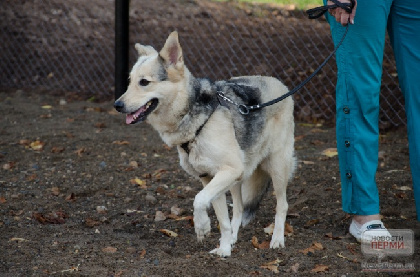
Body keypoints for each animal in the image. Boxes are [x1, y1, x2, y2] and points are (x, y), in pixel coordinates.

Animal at [114, 31, 296, 256]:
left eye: (144, 82)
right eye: (130, 81)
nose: (117, 105)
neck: (195, 119)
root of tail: (279, 83)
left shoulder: (226, 172)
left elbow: (199, 200)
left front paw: (202, 226)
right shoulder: (210, 177)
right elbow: (222, 219)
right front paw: (224, 249)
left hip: (276, 167)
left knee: (282, 205)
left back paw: (277, 239)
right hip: (238, 177)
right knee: (239, 208)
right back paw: (233, 239)